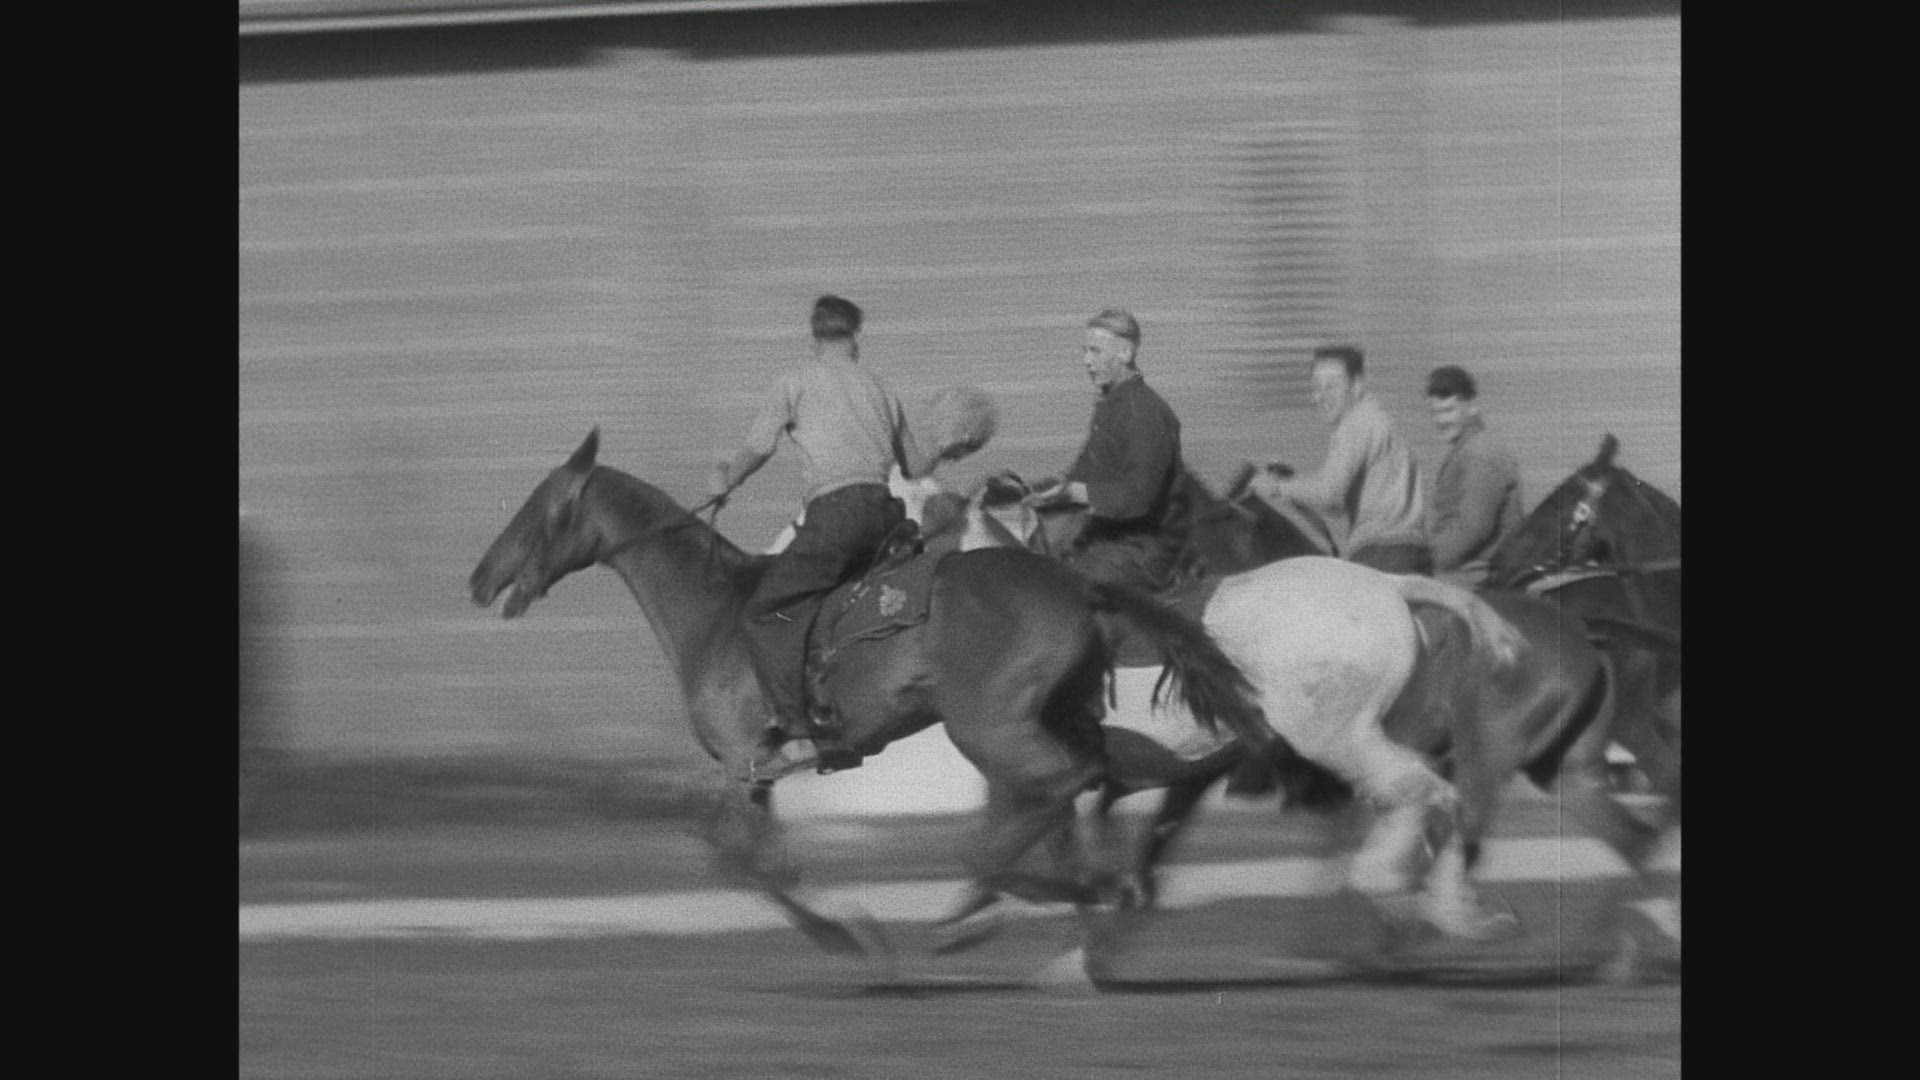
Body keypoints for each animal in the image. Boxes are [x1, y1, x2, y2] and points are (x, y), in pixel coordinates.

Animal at [468, 429, 1282, 971]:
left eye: (543, 506)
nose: (480, 577)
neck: (717, 610)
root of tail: (1078, 584)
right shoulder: (755, 775)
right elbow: (751, 859)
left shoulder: (741, 763)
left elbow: (742, 860)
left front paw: (852, 937)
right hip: (1047, 718)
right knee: (1079, 792)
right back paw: (1074, 907)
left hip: (986, 726)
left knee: (1061, 789)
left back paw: (1023, 899)